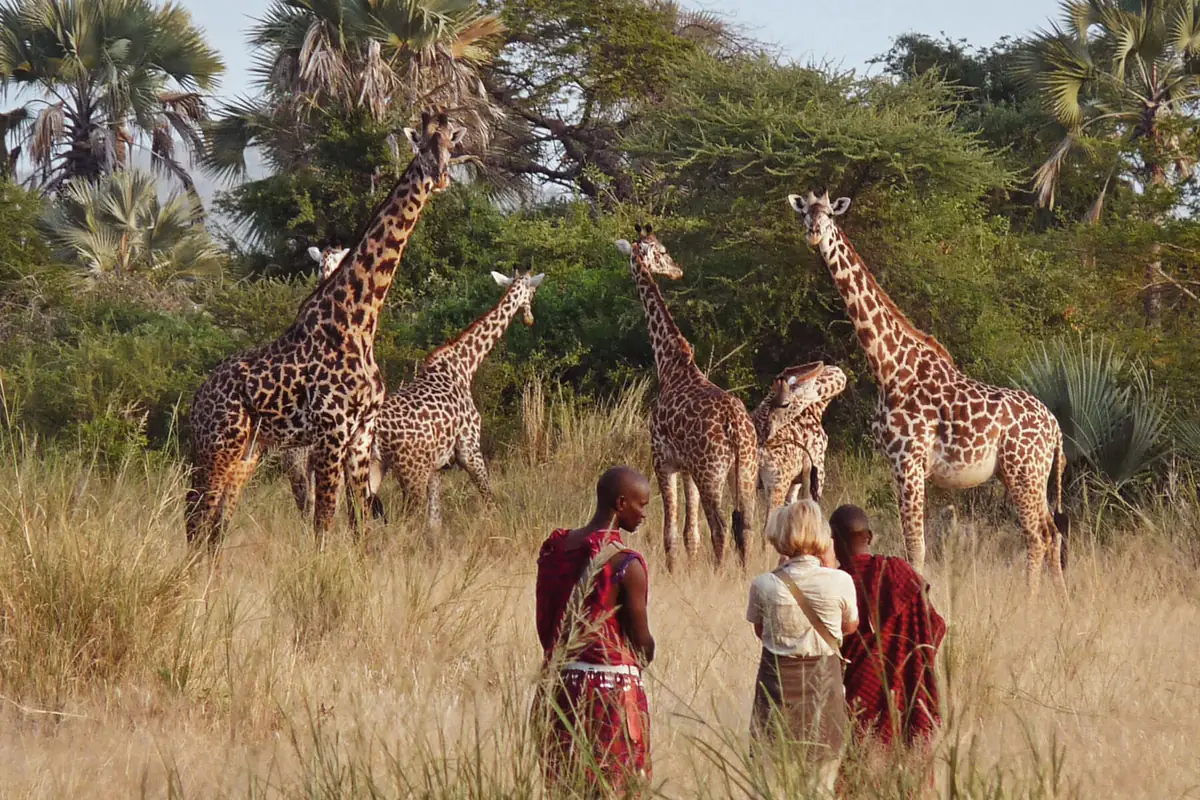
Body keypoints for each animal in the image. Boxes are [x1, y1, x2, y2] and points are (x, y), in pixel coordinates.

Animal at [185, 110, 467, 547]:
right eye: (420, 146)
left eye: (451, 146)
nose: (439, 178)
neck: (359, 321)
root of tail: (198, 399)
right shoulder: (331, 434)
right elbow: (324, 526)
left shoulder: (360, 437)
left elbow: (360, 528)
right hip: (218, 446)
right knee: (195, 520)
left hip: (247, 452)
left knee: (215, 525)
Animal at [369, 270, 546, 537]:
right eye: (533, 292)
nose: (530, 319)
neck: (464, 365)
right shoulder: (469, 450)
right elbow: (490, 499)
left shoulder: (437, 467)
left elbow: (435, 522)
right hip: (411, 470)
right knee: (405, 520)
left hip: (373, 466)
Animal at [615, 225, 758, 570]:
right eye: (664, 251)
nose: (677, 270)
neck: (670, 363)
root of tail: (736, 427)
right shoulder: (687, 467)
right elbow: (690, 534)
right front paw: (690, 570)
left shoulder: (662, 459)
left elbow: (671, 531)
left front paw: (673, 571)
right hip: (745, 470)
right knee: (746, 526)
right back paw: (743, 573)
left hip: (712, 473)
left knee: (720, 527)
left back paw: (719, 574)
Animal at [752, 362, 847, 510]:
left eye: (784, 403)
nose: (762, 431)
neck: (817, 407)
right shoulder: (817, 470)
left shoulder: (795, 483)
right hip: (777, 485)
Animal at [786, 191, 1068, 593]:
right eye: (805, 215)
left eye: (829, 216)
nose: (814, 234)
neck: (888, 365)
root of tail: (1056, 428)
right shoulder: (897, 463)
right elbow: (913, 543)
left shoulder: (909, 459)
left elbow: (915, 546)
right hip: (1031, 474)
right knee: (1053, 531)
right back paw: (1060, 598)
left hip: (1023, 471)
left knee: (1037, 535)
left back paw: (1029, 599)